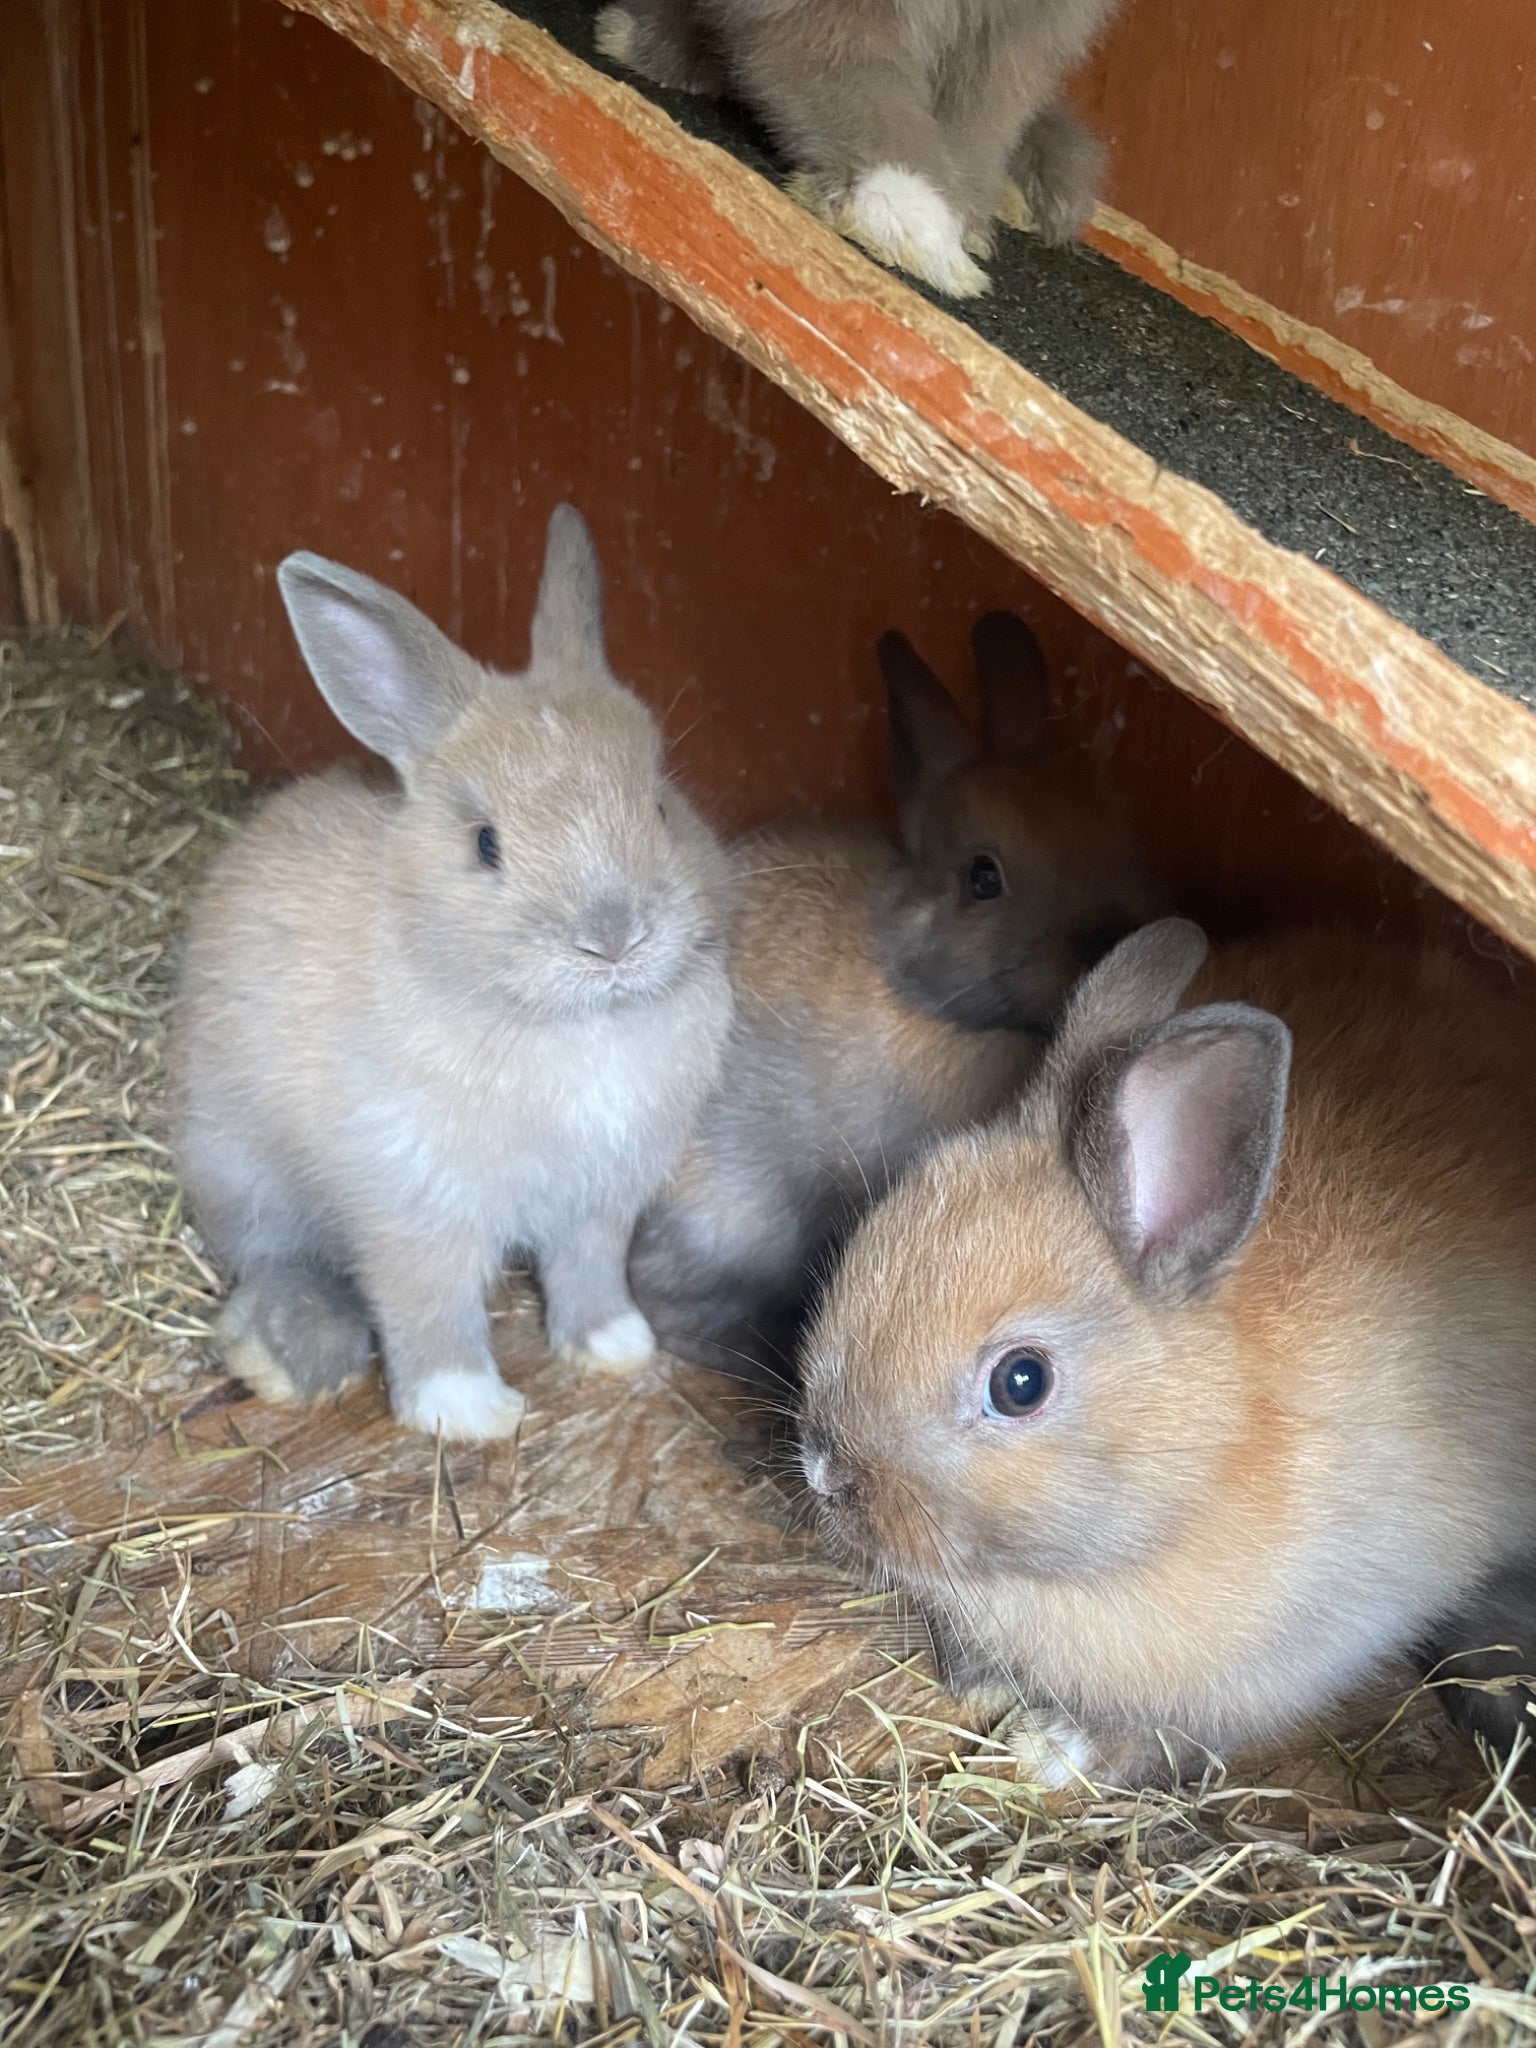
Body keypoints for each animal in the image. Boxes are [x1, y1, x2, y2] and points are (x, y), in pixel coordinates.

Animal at [174, 507, 734, 1443]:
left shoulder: (600, 1206)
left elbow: (589, 1276)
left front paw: (616, 1348)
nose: (614, 938)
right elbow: (429, 1313)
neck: (575, 1027)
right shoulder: (414, 1212)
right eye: (485, 845)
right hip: (241, 1169)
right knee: (275, 1257)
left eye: (660, 804)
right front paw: (469, 1412)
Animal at [594, 0, 1118, 296]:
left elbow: (980, 125)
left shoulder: (1013, 38)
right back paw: (638, 41)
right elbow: (856, 82)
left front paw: (965, 226)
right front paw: (916, 229)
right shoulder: (826, 19)